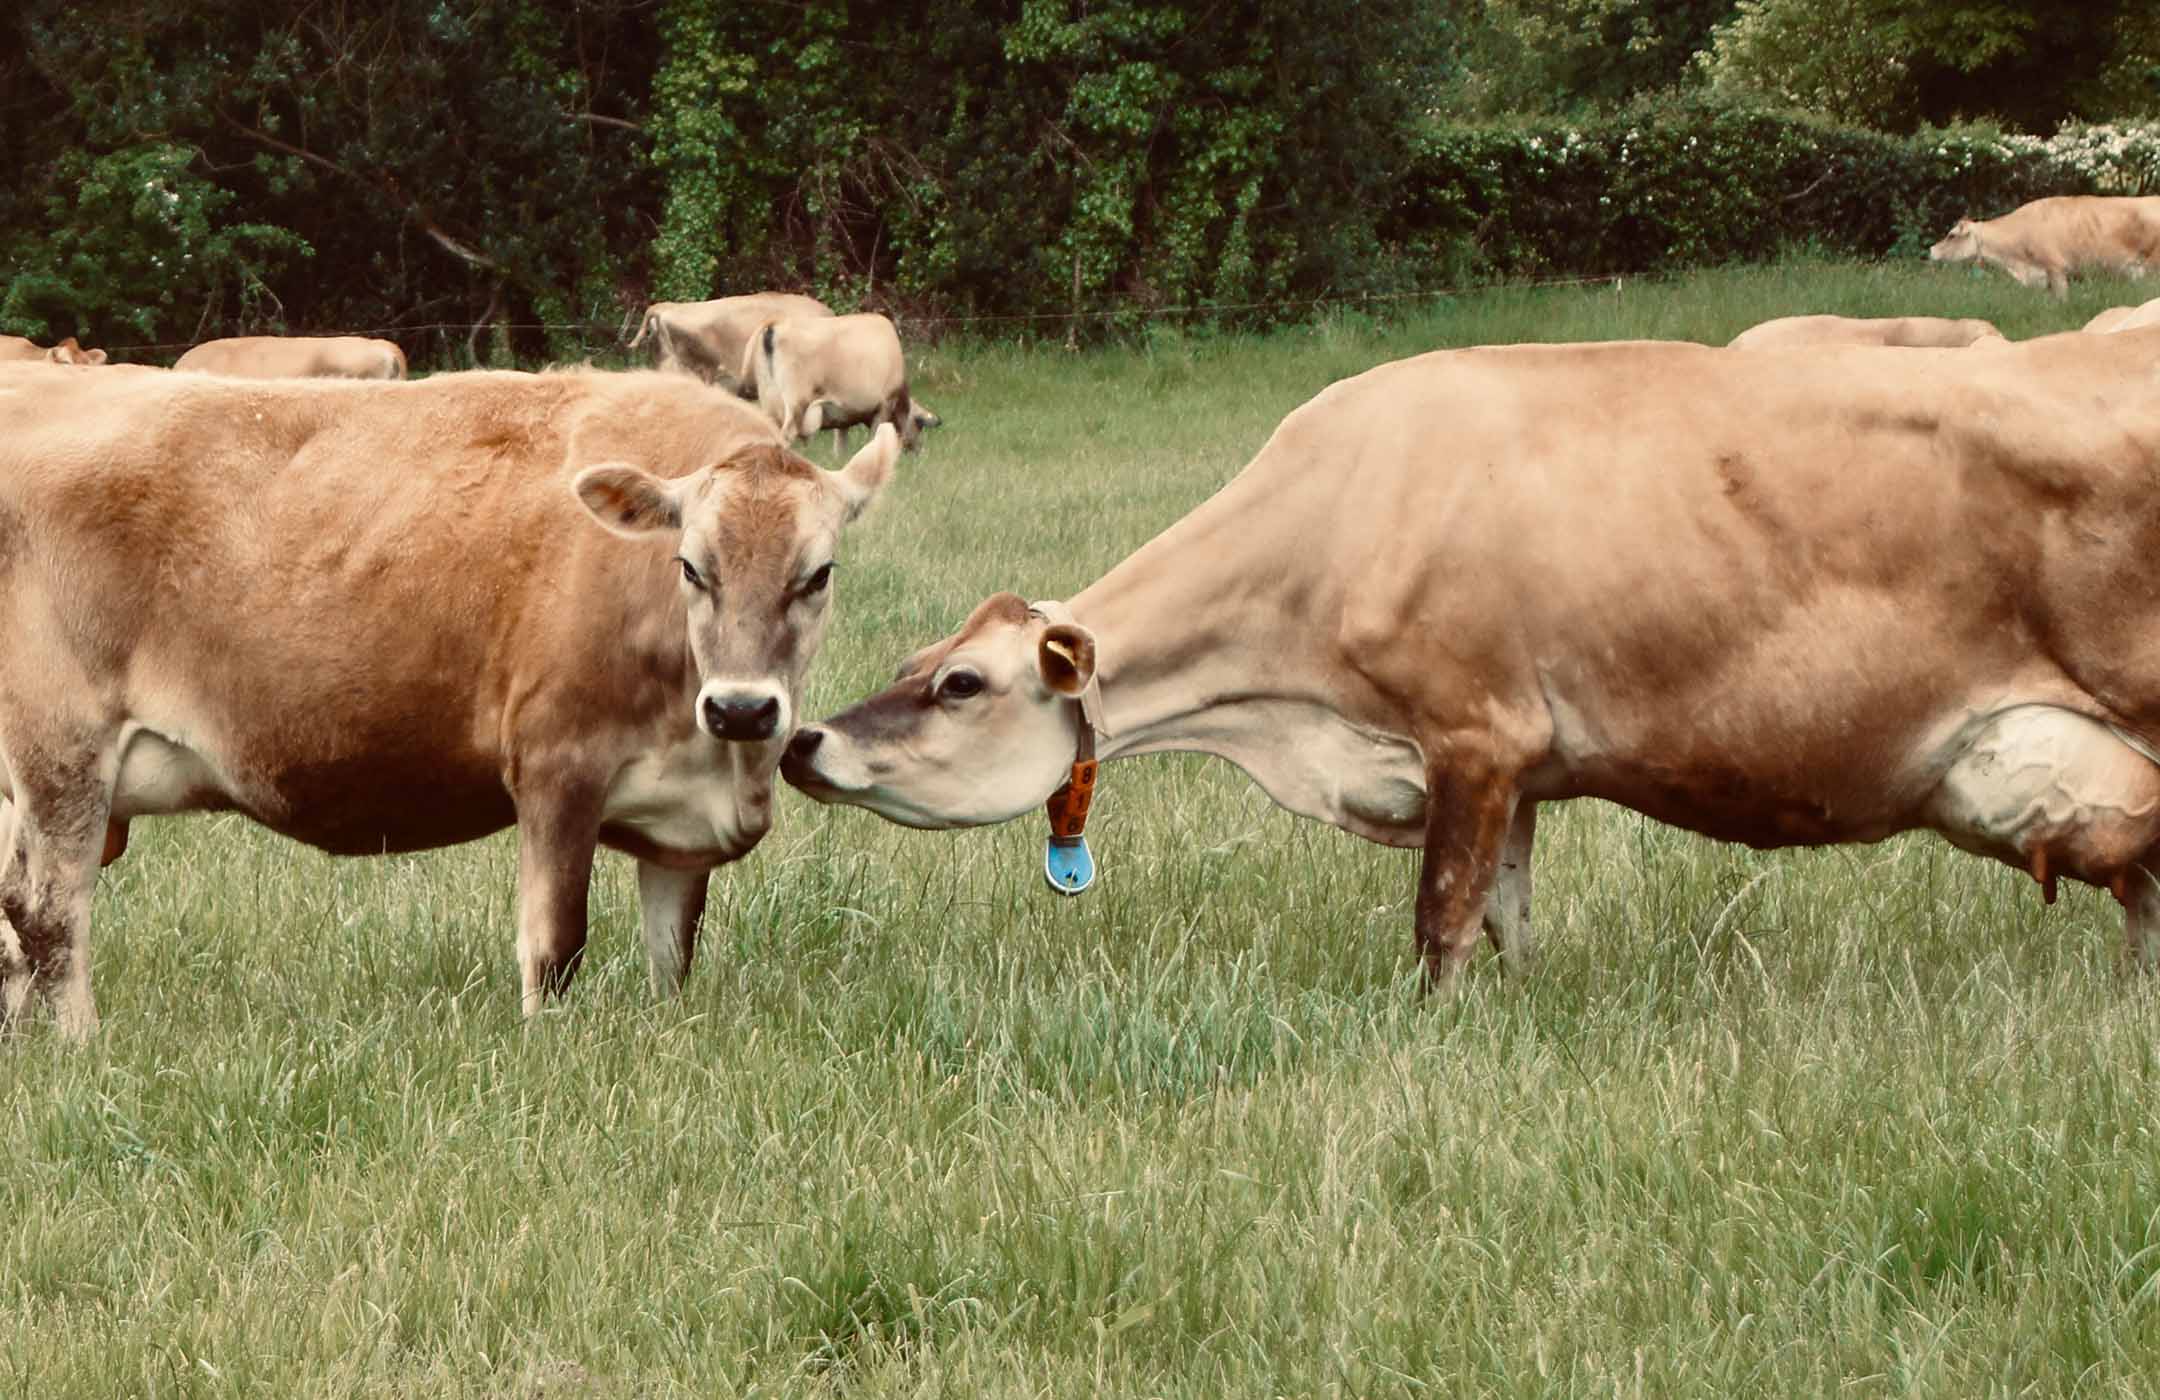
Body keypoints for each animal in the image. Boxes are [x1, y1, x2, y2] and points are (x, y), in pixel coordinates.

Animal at [738, 315, 924, 451]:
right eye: (918, 424)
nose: (917, 451)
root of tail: (775, 323)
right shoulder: (884, 404)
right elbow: (875, 437)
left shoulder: (843, 416)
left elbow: (840, 447)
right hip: (796, 402)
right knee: (786, 435)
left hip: (769, 399)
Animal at [781, 330, 2160, 985]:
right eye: (913, 651)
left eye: (961, 683)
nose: (804, 738)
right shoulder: (1520, 772)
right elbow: (1510, 914)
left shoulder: (1475, 734)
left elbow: (1441, 919)